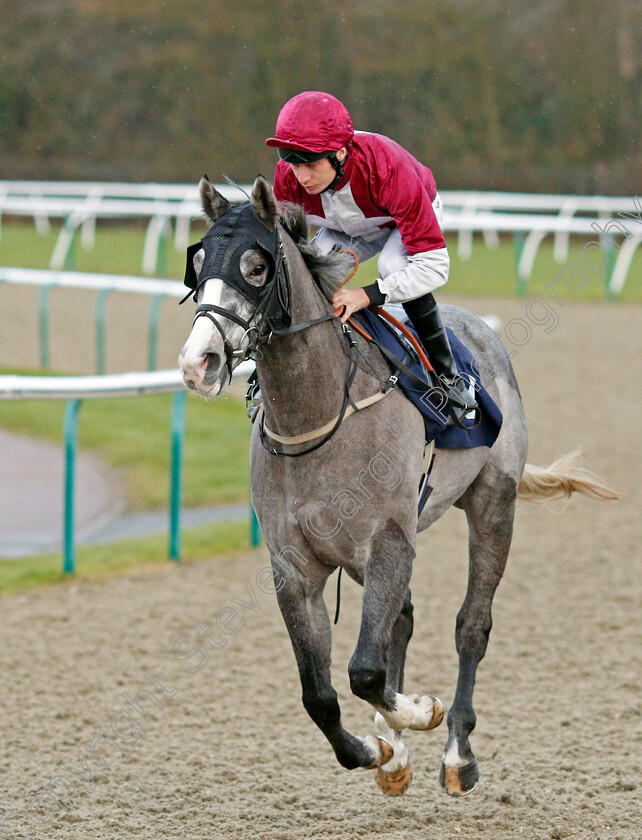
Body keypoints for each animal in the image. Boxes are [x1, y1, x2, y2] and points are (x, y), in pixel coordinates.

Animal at [178, 176, 612, 796]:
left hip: (493, 505)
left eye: (256, 266)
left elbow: (363, 670)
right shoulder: (296, 566)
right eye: (196, 262)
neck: (319, 413)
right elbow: (321, 694)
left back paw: (457, 752)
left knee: (471, 624)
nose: (200, 363)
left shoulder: (388, 540)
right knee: (401, 619)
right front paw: (382, 749)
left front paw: (419, 713)